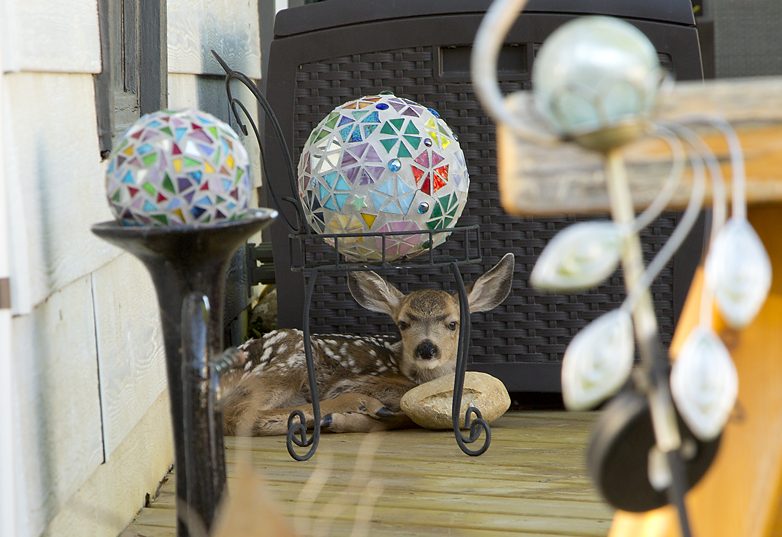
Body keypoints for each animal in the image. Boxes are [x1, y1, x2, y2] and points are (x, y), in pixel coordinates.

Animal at [221, 253, 515, 436]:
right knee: (238, 415)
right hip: (289, 361)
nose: (426, 348)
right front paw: (358, 414)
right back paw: (354, 407)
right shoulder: (354, 381)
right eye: (403, 323)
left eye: (453, 323)